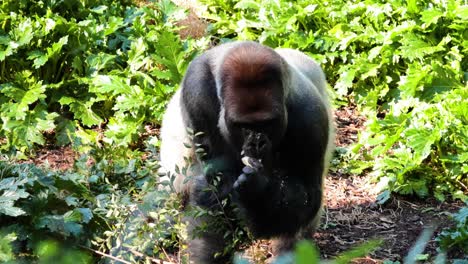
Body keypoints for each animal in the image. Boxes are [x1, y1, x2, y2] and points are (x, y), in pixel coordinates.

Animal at [159, 40, 334, 262]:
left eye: (267, 123)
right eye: (243, 126)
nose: (256, 143)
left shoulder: (311, 117)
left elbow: (306, 196)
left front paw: (256, 192)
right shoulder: (197, 92)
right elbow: (216, 185)